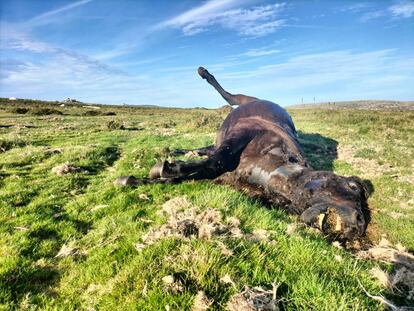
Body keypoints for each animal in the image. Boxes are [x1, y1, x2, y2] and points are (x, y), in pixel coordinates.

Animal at [115, 67, 368, 240]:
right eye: (353, 186)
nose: (359, 224)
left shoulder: (226, 178)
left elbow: (193, 174)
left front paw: (139, 178)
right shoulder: (242, 134)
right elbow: (215, 162)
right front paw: (165, 168)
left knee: (205, 149)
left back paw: (179, 150)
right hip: (242, 100)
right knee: (228, 95)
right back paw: (203, 72)